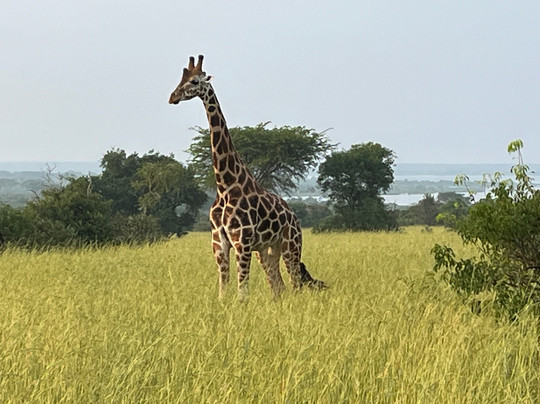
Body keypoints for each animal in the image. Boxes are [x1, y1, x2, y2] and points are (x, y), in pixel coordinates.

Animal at [169, 55, 326, 299]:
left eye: (195, 81)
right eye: (180, 79)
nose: (172, 97)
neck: (225, 185)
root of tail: (295, 217)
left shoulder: (242, 241)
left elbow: (242, 293)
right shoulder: (219, 242)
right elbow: (223, 290)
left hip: (291, 245)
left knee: (295, 284)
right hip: (266, 251)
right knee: (278, 287)